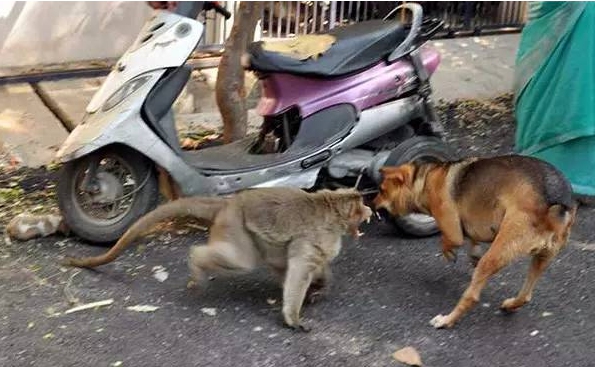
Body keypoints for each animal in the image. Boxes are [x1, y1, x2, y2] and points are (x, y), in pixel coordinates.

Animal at [64, 188, 372, 332]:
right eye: (362, 206)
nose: (370, 210)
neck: (332, 210)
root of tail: (229, 203)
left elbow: (304, 265)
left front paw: (321, 287)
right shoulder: (317, 235)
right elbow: (299, 268)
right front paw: (293, 317)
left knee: (272, 259)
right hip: (235, 225)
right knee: (242, 261)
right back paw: (196, 262)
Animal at [374, 155, 580, 330]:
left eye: (382, 191)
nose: (371, 203)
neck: (424, 180)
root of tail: (555, 206)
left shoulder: (452, 230)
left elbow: (447, 240)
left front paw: (449, 252)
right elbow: (472, 242)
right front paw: (471, 255)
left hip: (495, 256)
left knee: (471, 296)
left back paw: (446, 320)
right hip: (541, 259)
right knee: (526, 295)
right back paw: (510, 305)